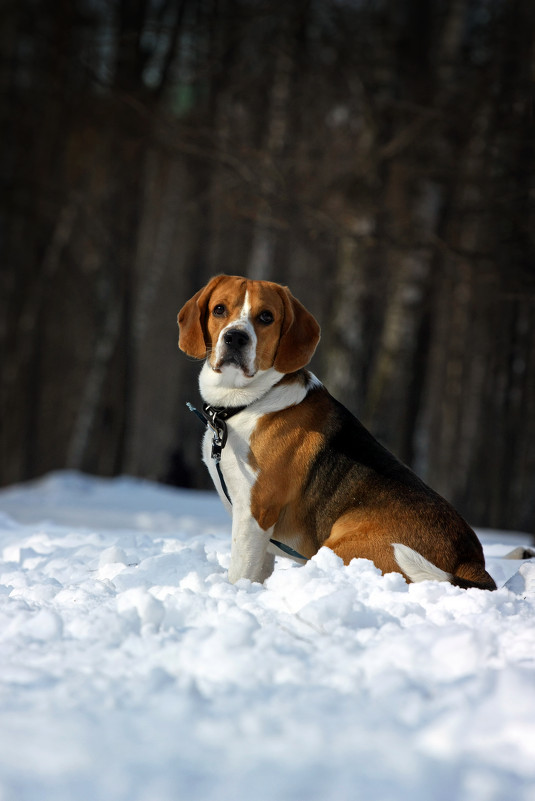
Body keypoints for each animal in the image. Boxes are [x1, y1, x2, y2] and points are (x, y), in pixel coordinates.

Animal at [180, 276, 498, 588]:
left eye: (266, 317)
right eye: (219, 310)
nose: (235, 337)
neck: (248, 401)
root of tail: (471, 563)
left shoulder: (255, 513)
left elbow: (240, 571)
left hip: (338, 546)